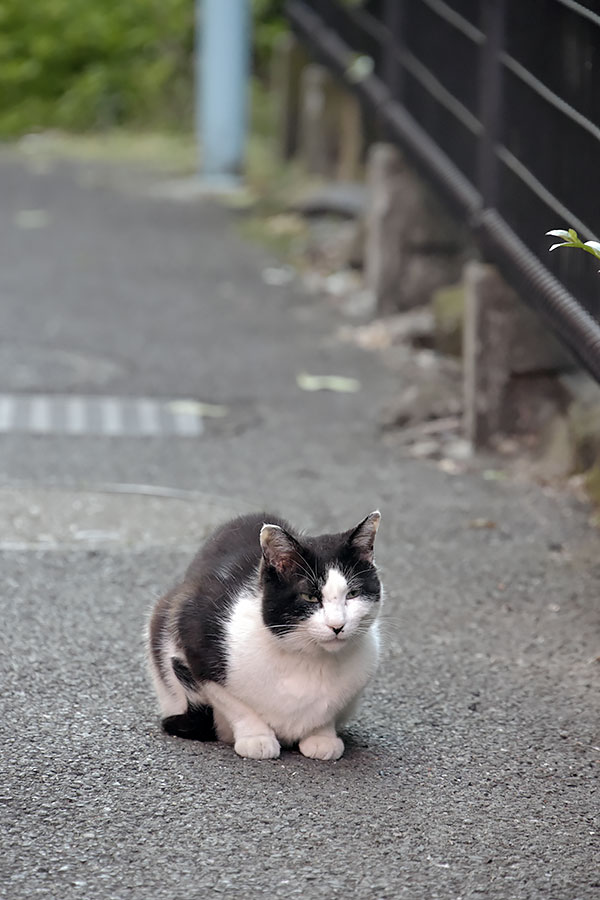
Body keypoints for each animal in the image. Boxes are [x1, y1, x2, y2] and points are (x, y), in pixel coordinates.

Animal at [148, 512, 382, 760]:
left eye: (353, 593)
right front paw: (257, 738)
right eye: (309, 596)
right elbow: (233, 703)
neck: (308, 659)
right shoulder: (194, 633)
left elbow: (329, 710)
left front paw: (322, 736)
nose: (337, 625)